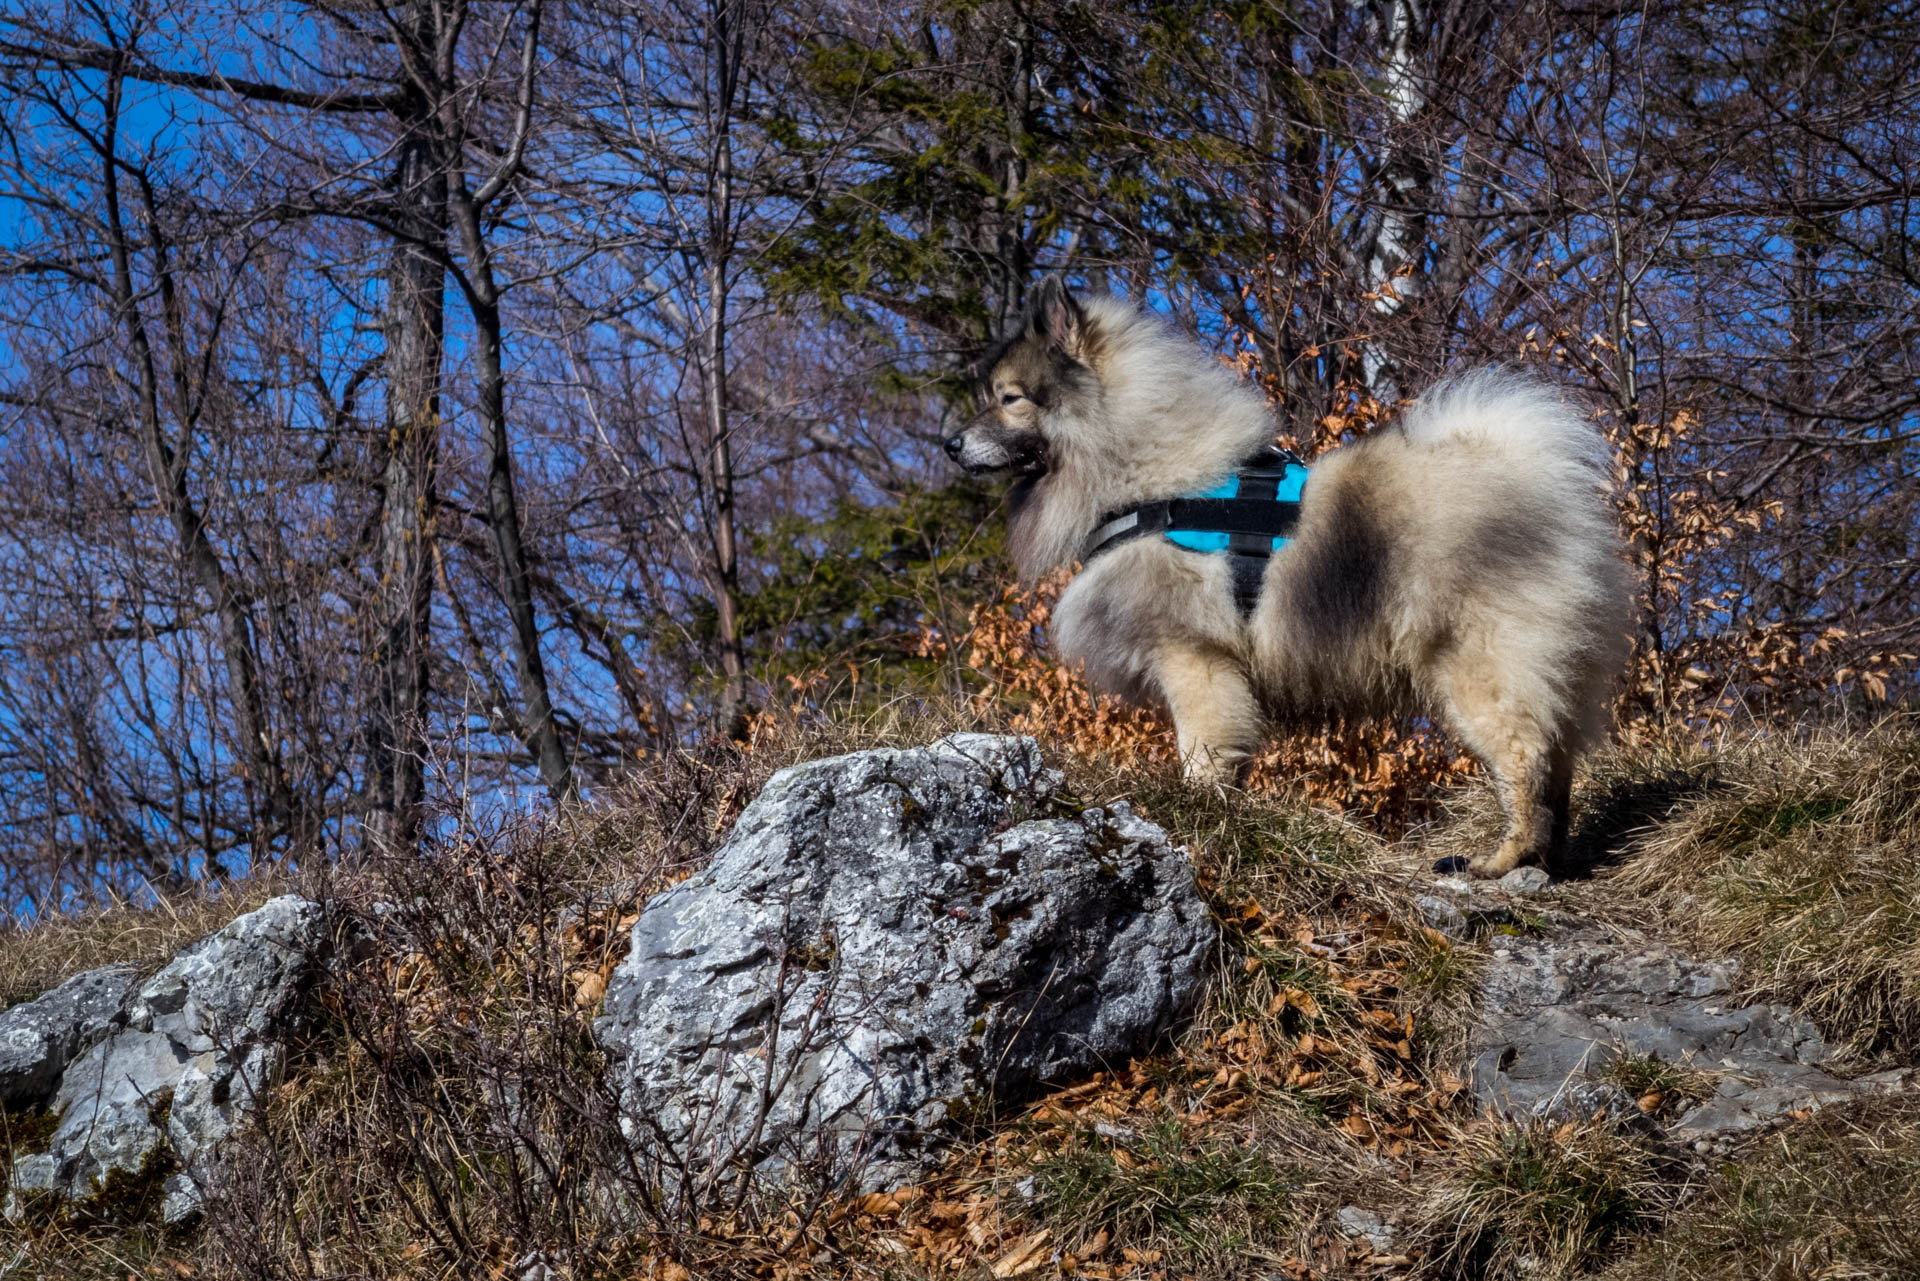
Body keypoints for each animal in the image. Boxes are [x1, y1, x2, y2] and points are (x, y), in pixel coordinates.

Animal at [940, 278, 1620, 883]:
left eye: (1009, 398)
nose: (949, 444)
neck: (1147, 477)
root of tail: (1544, 488)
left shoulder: (1193, 659)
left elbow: (1202, 751)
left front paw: (1196, 811)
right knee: (1555, 765)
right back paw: (1542, 862)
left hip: (1479, 670)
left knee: (1525, 760)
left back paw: (1500, 860)